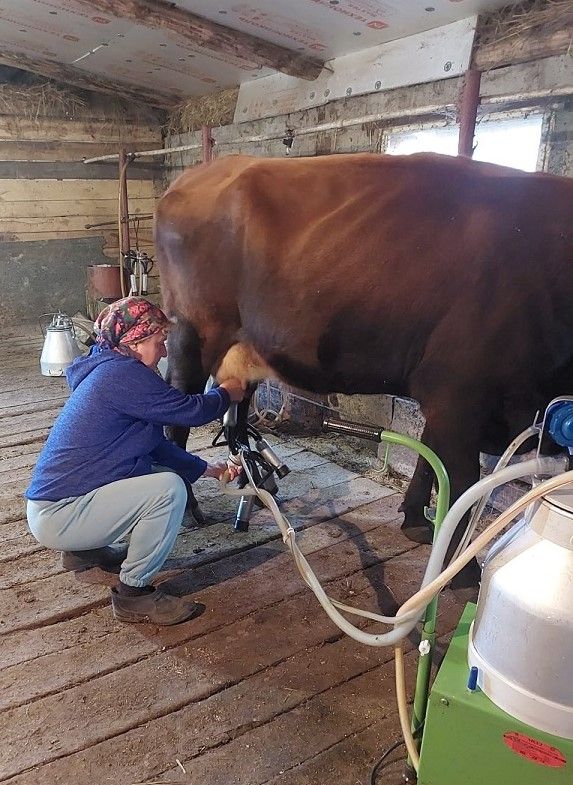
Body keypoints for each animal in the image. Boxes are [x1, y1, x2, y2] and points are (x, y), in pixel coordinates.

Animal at [154, 153, 572, 584]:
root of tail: (197, 173)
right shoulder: (459, 392)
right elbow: (461, 485)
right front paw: (462, 574)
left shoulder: (448, 394)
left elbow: (430, 456)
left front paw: (415, 521)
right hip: (191, 335)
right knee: (175, 420)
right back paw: (191, 508)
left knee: (233, 419)